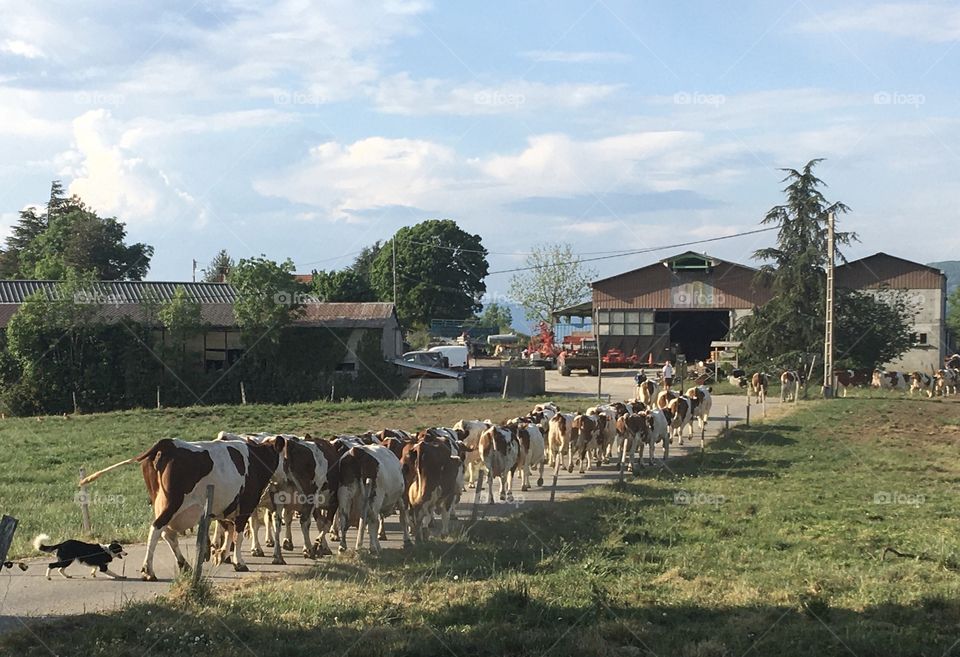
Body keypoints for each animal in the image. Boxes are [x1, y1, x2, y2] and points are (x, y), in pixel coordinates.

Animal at [78, 436, 288, 580]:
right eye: (284, 458)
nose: (285, 478)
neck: (256, 459)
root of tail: (168, 443)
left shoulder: (226, 507)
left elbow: (228, 531)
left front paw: (221, 555)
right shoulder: (245, 504)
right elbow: (238, 533)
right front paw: (239, 562)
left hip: (161, 502)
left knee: (166, 533)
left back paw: (183, 564)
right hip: (173, 503)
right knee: (157, 529)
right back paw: (149, 570)